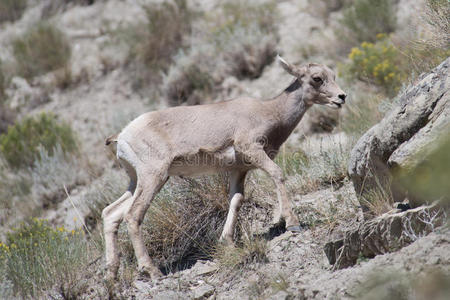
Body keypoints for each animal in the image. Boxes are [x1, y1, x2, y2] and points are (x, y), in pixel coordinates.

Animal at [103, 55, 348, 278]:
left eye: (333, 76)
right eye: (317, 78)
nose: (341, 97)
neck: (270, 112)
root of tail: (122, 136)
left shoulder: (238, 170)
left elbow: (236, 200)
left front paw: (227, 242)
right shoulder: (252, 150)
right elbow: (277, 174)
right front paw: (292, 223)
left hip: (136, 181)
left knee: (111, 214)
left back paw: (111, 275)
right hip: (154, 177)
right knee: (133, 216)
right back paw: (152, 271)